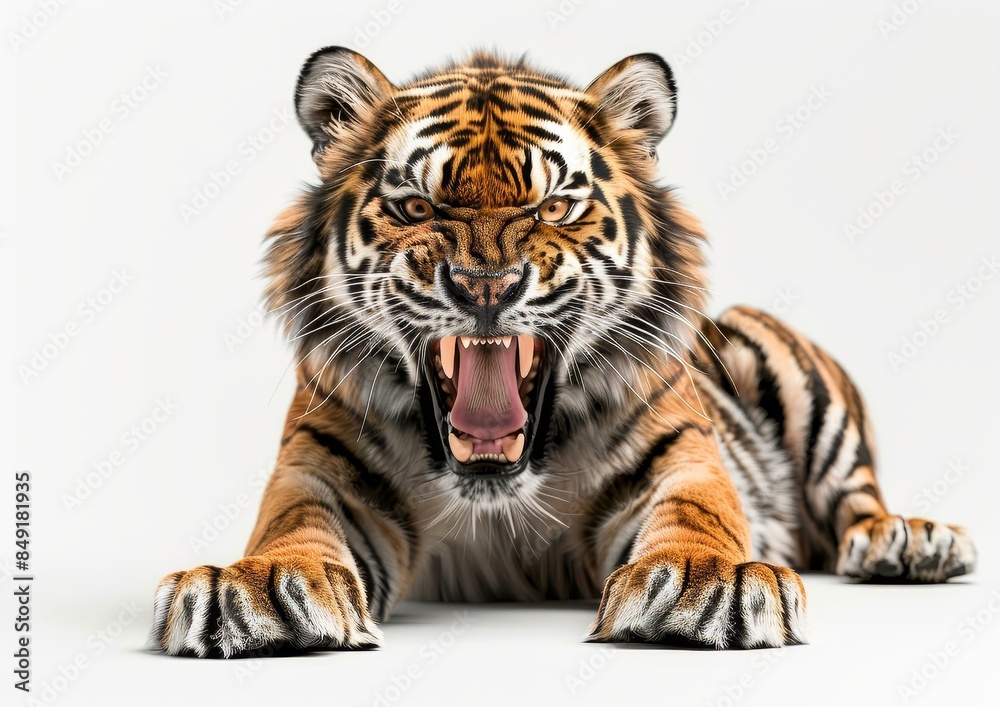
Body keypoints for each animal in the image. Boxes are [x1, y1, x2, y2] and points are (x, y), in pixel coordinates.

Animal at [148, 47, 977, 657]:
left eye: (553, 207)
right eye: (416, 207)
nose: (485, 286)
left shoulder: (682, 459)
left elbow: (698, 516)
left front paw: (714, 578)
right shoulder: (320, 471)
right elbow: (291, 531)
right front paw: (246, 586)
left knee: (854, 500)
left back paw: (910, 540)